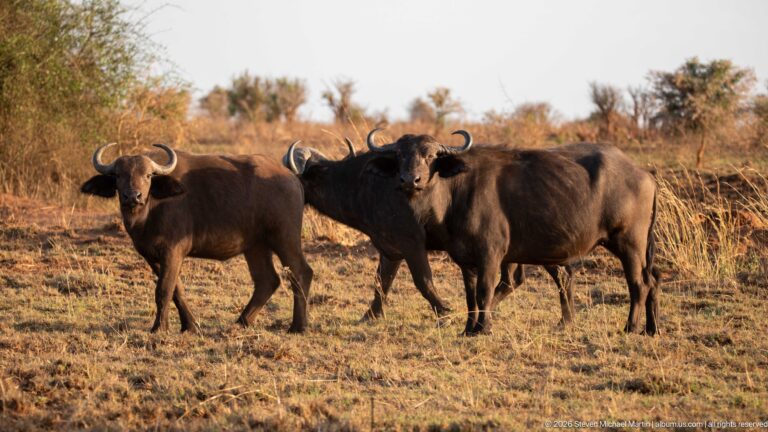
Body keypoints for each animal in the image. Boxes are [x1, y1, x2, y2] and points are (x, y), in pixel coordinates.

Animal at [80, 143, 313, 333]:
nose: (132, 196)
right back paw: (241, 322)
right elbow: (177, 289)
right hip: (256, 246)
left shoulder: (173, 251)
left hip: (284, 237)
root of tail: (292, 177)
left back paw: (298, 326)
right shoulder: (152, 255)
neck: (150, 209)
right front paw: (190, 325)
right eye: (119, 175)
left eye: (148, 175)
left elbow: (164, 289)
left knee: (301, 272)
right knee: (267, 280)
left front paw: (159, 328)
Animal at [365, 130, 659, 336]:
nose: (410, 180)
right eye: (400, 156)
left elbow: (484, 291)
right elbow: (470, 295)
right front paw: (468, 328)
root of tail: (644, 174)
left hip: (628, 242)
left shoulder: (491, 254)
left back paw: (631, 327)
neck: (455, 192)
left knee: (639, 283)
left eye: (430, 156)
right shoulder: (464, 259)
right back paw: (651, 329)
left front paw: (483, 328)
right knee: (652, 279)